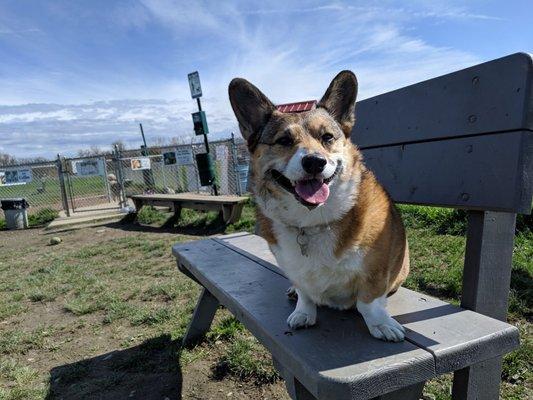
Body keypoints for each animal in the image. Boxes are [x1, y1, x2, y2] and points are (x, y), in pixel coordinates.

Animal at [228, 71, 408, 340]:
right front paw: (304, 312)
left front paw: (381, 324)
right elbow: (305, 292)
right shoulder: (294, 268)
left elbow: (368, 302)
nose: (314, 162)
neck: (312, 222)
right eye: (284, 140)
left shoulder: (375, 270)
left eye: (327, 138)